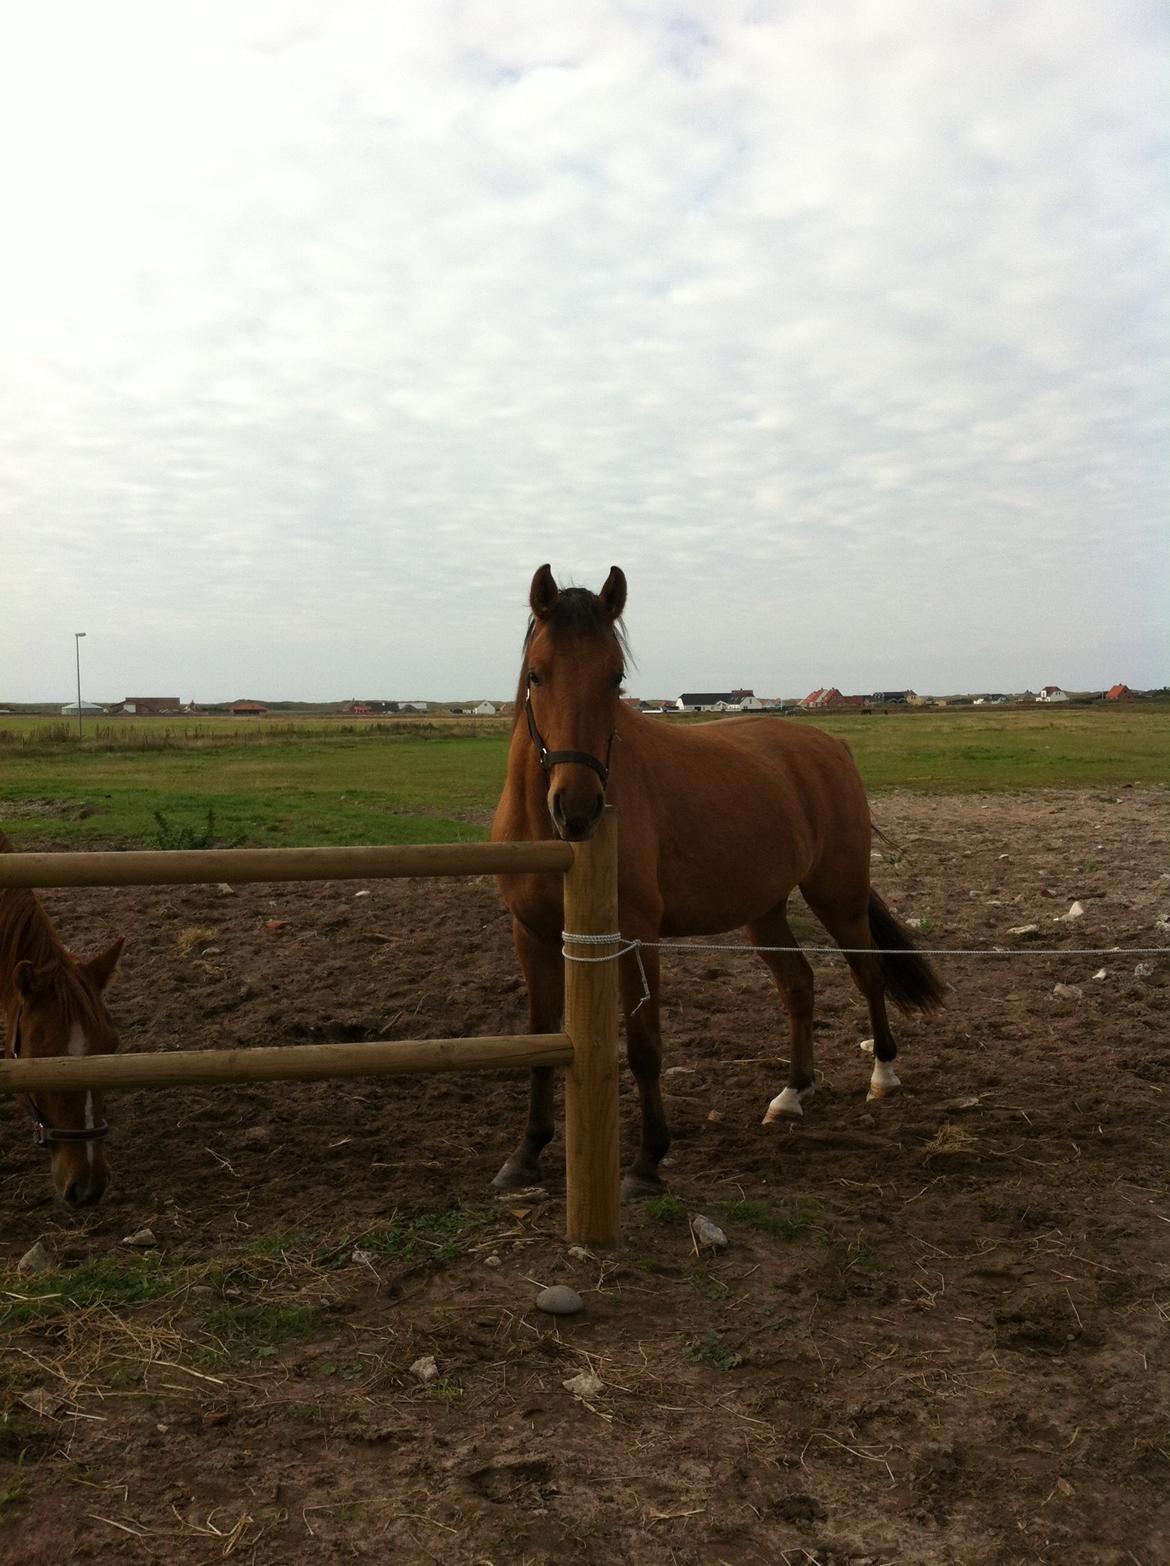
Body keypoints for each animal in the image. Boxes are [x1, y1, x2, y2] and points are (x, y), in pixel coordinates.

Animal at [491, 570, 939, 1190]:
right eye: (537, 673)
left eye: (615, 677)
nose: (578, 808)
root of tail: (830, 745)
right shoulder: (531, 935)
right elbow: (538, 1040)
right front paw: (527, 1151)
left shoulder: (636, 937)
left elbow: (645, 1046)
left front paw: (648, 1160)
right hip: (765, 911)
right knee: (799, 985)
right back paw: (792, 1093)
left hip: (838, 897)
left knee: (868, 974)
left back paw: (883, 1076)